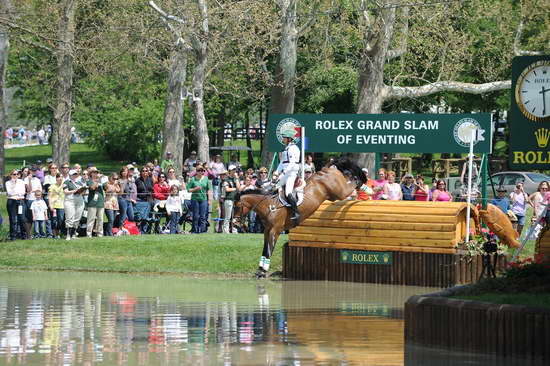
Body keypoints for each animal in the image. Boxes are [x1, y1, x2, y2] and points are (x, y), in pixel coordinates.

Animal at [233, 157, 366, 278]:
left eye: (237, 206)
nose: (234, 223)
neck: (269, 206)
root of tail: (327, 169)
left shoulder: (275, 230)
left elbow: (270, 249)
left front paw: (263, 271)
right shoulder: (267, 230)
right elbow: (265, 248)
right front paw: (260, 269)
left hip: (340, 192)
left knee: (350, 185)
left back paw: (360, 182)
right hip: (334, 195)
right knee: (347, 177)